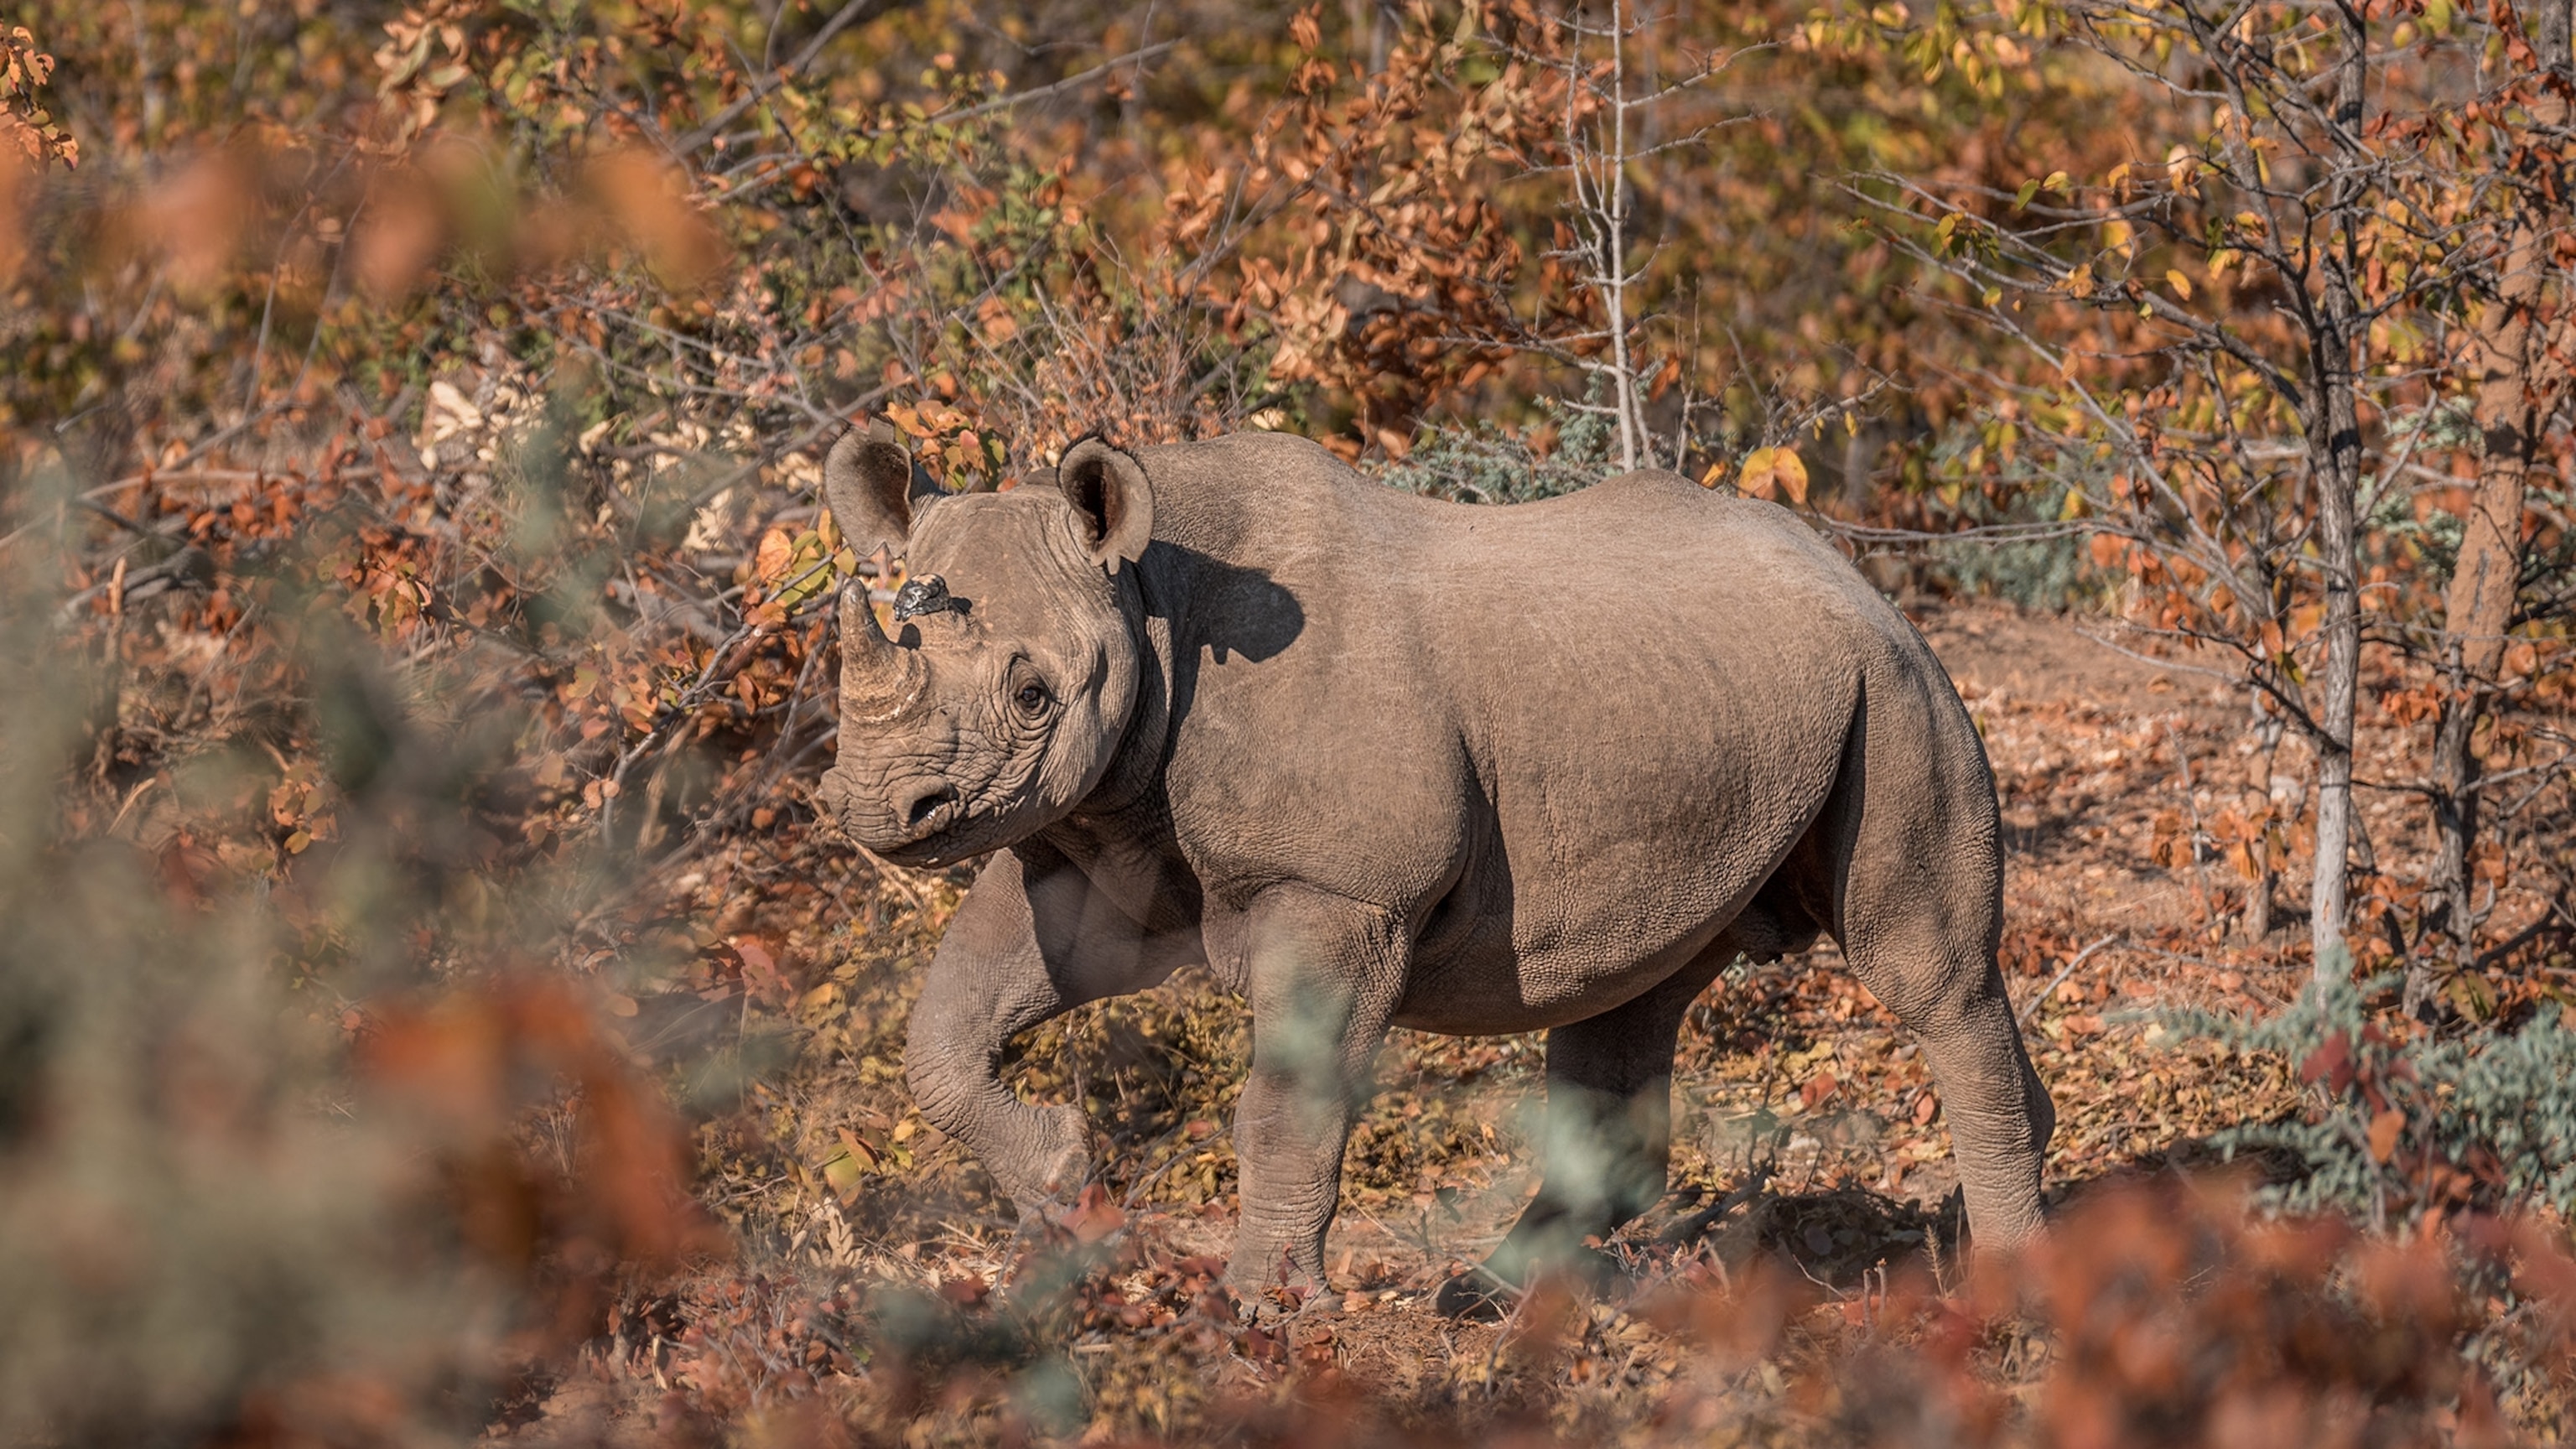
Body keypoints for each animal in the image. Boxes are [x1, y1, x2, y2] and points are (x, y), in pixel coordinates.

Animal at [811, 424, 2052, 1311]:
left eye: (1031, 694)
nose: (880, 808)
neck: (1148, 600)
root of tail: (1853, 570)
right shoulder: (1087, 835)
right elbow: (947, 1034)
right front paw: (1072, 1192)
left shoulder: (1339, 892)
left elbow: (1287, 1098)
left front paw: (1265, 1311)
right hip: (1708, 718)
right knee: (1626, 992)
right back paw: (1484, 1297)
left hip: (1897, 685)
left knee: (1926, 973)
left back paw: (2010, 1291)